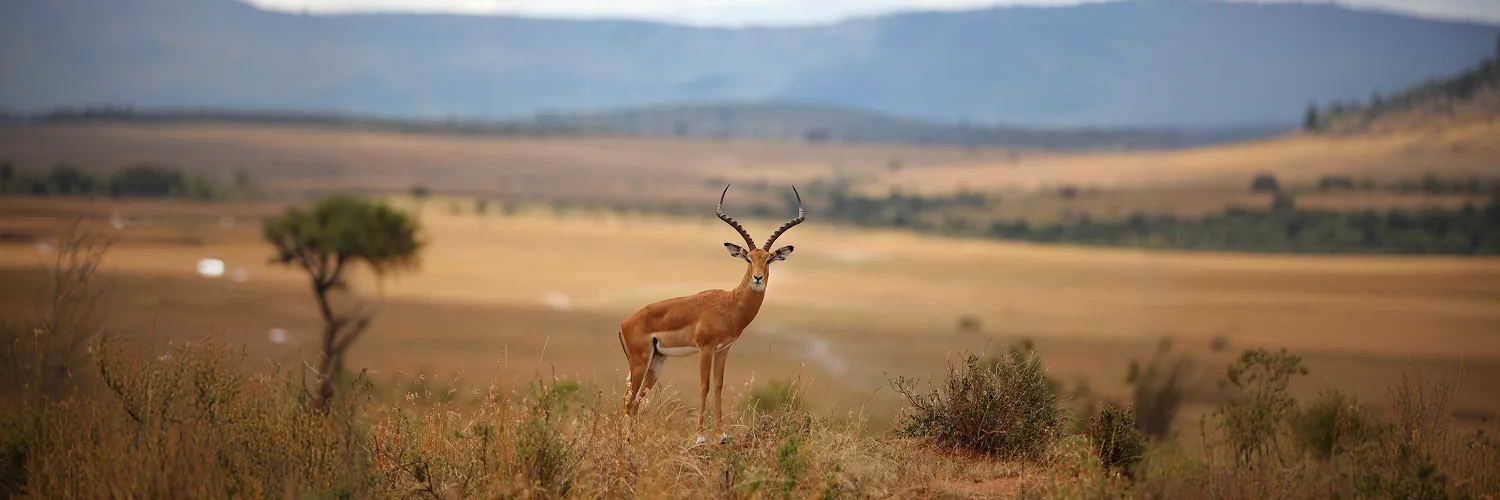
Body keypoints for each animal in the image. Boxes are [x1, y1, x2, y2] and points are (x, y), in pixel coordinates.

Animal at [617, 183, 805, 446]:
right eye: (748, 258)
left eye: (768, 259)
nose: (758, 278)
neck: (728, 304)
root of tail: (625, 323)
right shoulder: (705, 348)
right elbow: (704, 386)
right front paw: (700, 438)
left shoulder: (723, 349)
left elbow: (718, 386)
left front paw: (722, 436)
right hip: (640, 362)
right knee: (628, 399)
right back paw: (625, 442)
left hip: (657, 362)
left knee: (635, 401)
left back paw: (631, 441)